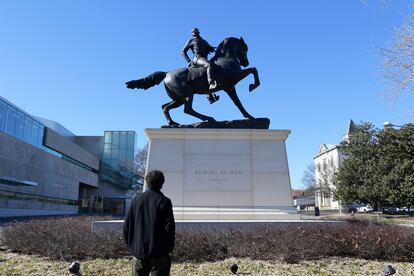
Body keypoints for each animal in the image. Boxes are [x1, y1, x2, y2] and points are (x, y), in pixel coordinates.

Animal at [126, 37, 260, 126]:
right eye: (245, 48)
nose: (245, 63)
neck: (226, 59)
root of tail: (167, 73)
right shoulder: (234, 78)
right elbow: (253, 70)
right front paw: (253, 86)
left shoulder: (229, 87)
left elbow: (238, 103)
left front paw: (250, 117)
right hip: (187, 94)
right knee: (187, 109)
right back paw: (209, 118)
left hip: (179, 99)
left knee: (165, 107)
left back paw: (173, 123)